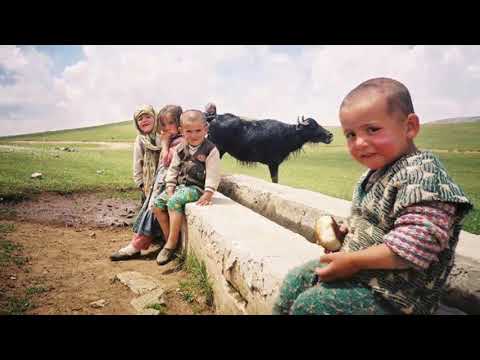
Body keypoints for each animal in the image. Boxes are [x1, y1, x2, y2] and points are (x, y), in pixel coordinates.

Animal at [206, 114, 334, 183]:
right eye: (313, 126)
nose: (330, 135)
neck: (287, 135)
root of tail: (215, 117)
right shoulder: (273, 164)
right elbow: (275, 180)